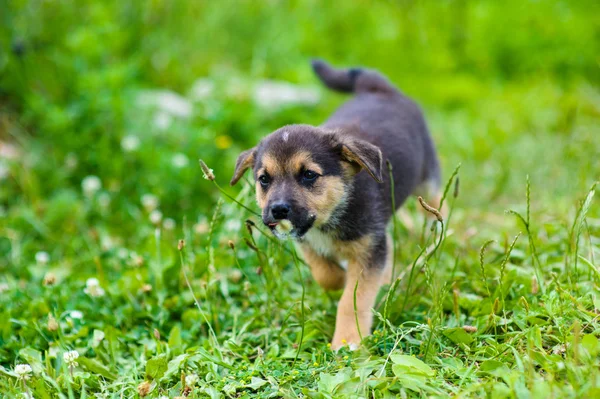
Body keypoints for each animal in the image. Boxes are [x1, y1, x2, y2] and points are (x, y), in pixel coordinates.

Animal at [232, 59, 442, 350]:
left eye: (309, 175)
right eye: (264, 179)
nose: (278, 210)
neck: (331, 216)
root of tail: (379, 89)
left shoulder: (368, 250)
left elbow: (353, 299)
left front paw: (348, 339)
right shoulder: (307, 241)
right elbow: (324, 273)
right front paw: (340, 278)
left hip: (427, 179)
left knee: (438, 205)